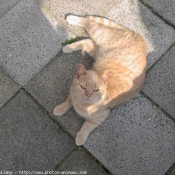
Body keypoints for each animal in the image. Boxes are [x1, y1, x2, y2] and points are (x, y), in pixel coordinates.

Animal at [53, 14, 146, 146]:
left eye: (96, 90)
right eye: (83, 87)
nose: (88, 95)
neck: (83, 105)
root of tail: (141, 39)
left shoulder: (101, 117)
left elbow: (88, 126)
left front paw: (80, 138)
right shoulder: (73, 93)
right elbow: (68, 101)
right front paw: (60, 108)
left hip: (99, 44)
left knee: (88, 38)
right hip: (100, 38)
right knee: (88, 25)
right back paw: (71, 26)